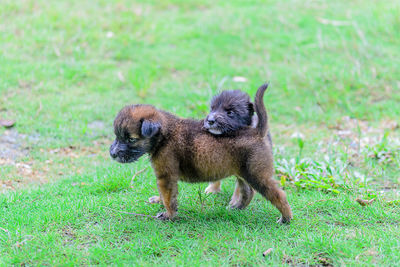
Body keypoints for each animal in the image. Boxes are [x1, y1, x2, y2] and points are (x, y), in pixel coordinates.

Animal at [111, 83, 292, 224]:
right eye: (117, 136)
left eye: (131, 139)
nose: (112, 154)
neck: (164, 135)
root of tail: (257, 131)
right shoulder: (165, 177)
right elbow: (164, 195)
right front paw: (159, 201)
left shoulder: (166, 176)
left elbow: (169, 198)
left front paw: (169, 215)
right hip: (243, 173)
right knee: (248, 192)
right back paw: (237, 207)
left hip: (257, 175)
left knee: (279, 195)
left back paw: (285, 218)